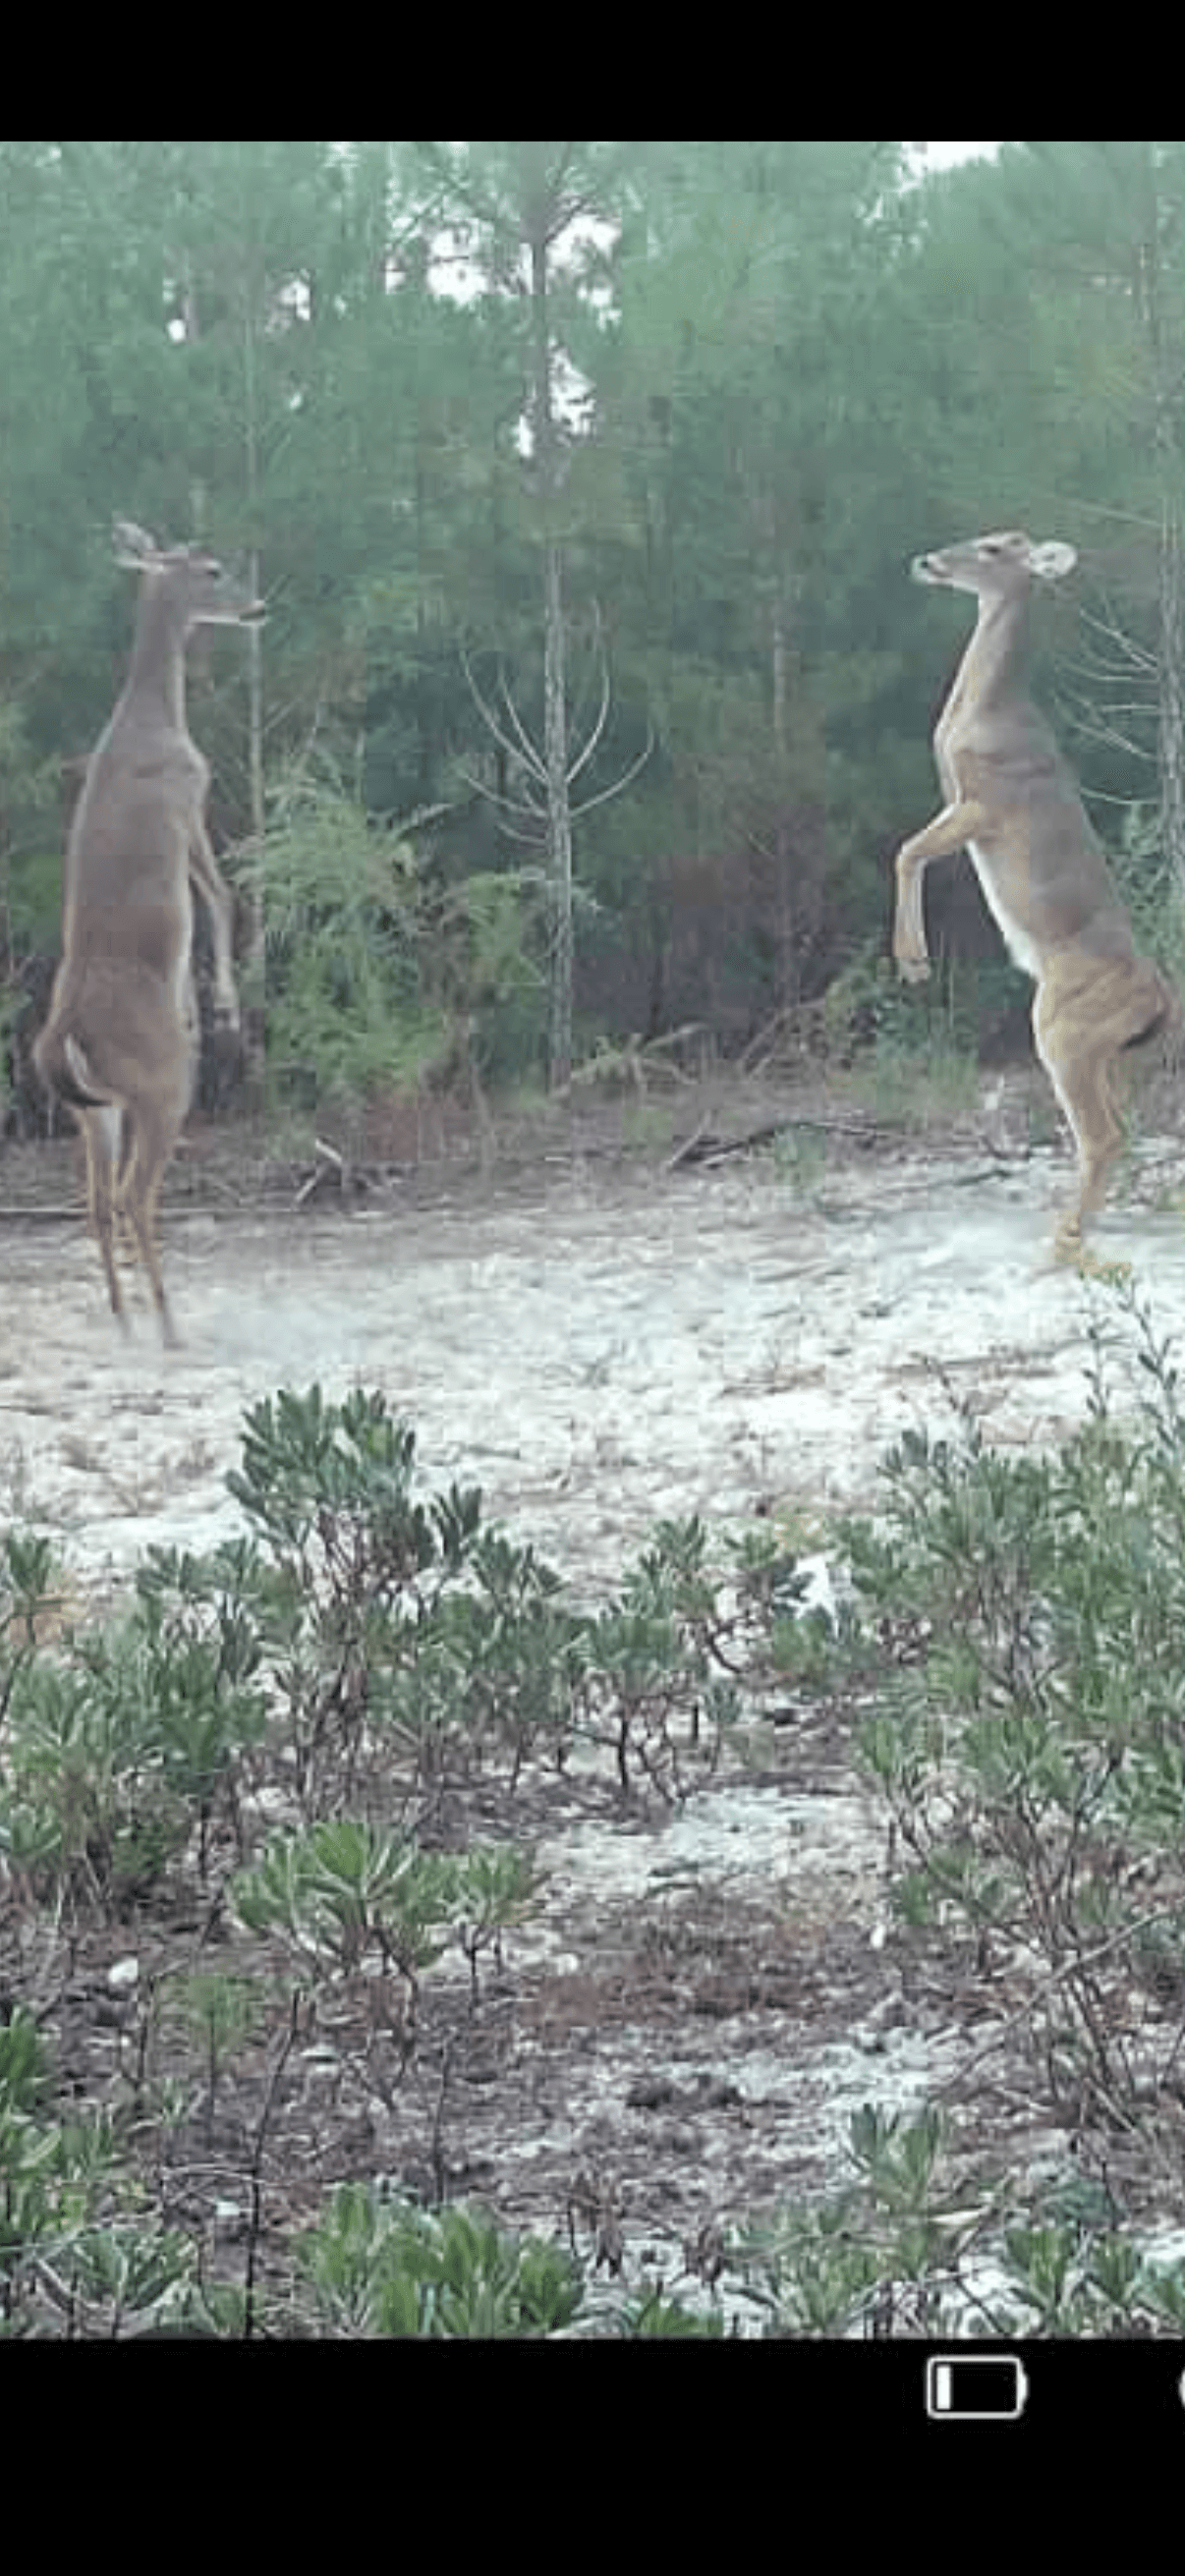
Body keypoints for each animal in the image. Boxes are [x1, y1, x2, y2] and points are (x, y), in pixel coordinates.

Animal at [33, 522, 264, 1346]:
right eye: (214, 569)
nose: (258, 606)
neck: (154, 716)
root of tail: (64, 1031)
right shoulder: (189, 792)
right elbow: (223, 897)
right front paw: (221, 1005)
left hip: (91, 1108)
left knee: (96, 1202)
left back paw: (126, 1321)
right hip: (160, 1086)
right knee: (134, 1194)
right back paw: (169, 1325)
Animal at [893, 528, 1180, 1266]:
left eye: (995, 548)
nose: (927, 560)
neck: (979, 713)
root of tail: (1159, 1000)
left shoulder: (986, 803)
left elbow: (906, 850)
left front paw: (914, 963)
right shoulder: (955, 799)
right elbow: (911, 848)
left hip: (1063, 1030)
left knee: (1103, 1134)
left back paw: (1065, 1242)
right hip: (1101, 1050)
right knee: (1121, 1128)